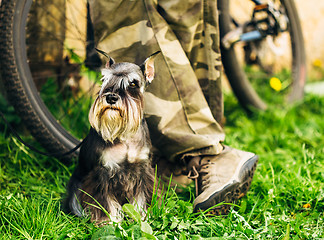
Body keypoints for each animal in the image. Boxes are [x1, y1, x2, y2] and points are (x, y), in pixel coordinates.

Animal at [65, 49, 159, 222]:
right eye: (104, 80)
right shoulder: (102, 173)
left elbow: (140, 198)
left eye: (133, 83)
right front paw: (112, 222)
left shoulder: (142, 170)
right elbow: (106, 203)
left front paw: (140, 218)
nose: (111, 97)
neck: (124, 135)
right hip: (76, 188)